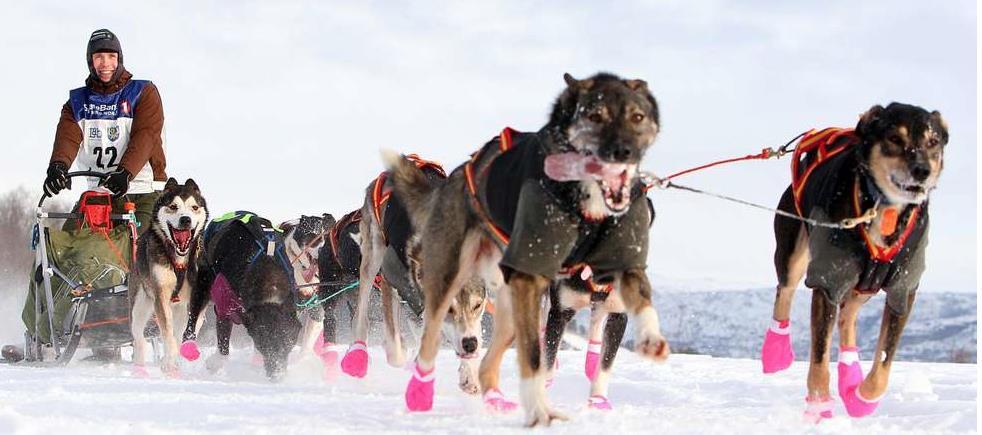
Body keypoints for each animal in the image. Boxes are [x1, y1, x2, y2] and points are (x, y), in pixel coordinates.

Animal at [388, 73, 672, 428]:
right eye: (595, 116)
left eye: (638, 117)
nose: (624, 151)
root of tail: (456, 175)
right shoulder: (553, 307)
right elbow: (539, 360)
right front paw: (539, 409)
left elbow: (618, 338)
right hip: (452, 279)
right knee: (431, 337)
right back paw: (420, 392)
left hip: (509, 306)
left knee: (488, 362)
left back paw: (495, 397)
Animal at [764, 103, 948, 422]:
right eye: (894, 138)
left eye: (933, 141)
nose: (922, 170)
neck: (883, 210)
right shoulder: (828, 282)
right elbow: (819, 359)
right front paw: (819, 407)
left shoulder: (903, 289)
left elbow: (883, 364)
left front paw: (861, 398)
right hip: (793, 252)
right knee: (784, 292)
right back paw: (776, 352)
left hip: (869, 282)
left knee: (847, 315)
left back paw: (850, 373)